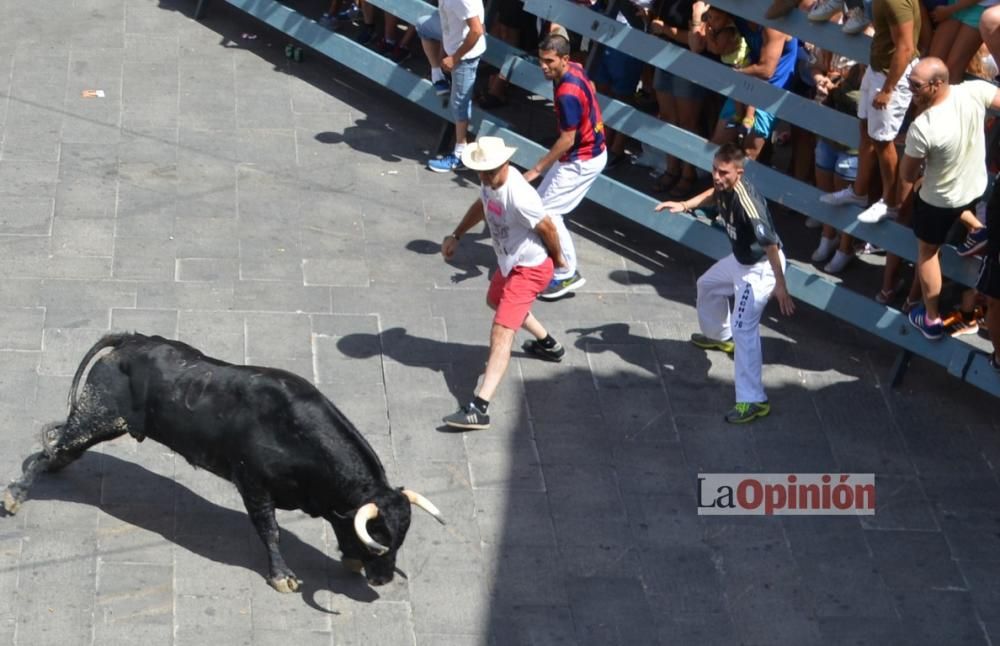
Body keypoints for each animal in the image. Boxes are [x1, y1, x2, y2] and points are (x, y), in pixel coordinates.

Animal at [0, 336, 446, 596]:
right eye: (377, 535)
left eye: (401, 536)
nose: (382, 579)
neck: (298, 433)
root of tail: (132, 339)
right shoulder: (253, 484)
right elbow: (270, 530)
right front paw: (282, 576)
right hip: (100, 419)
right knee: (52, 451)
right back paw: (15, 496)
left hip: (98, 424)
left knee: (56, 448)